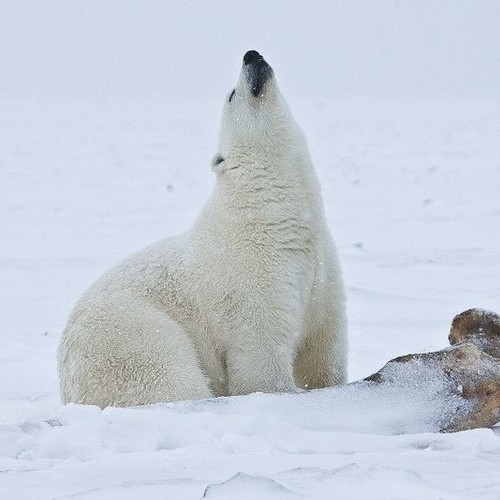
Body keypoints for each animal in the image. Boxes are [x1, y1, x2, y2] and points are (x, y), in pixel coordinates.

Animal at [57, 50, 348, 408]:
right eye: (232, 94)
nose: (252, 55)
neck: (268, 210)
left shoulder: (322, 268)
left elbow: (323, 343)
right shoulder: (251, 274)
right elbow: (261, 351)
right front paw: (279, 393)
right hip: (126, 335)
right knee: (162, 373)